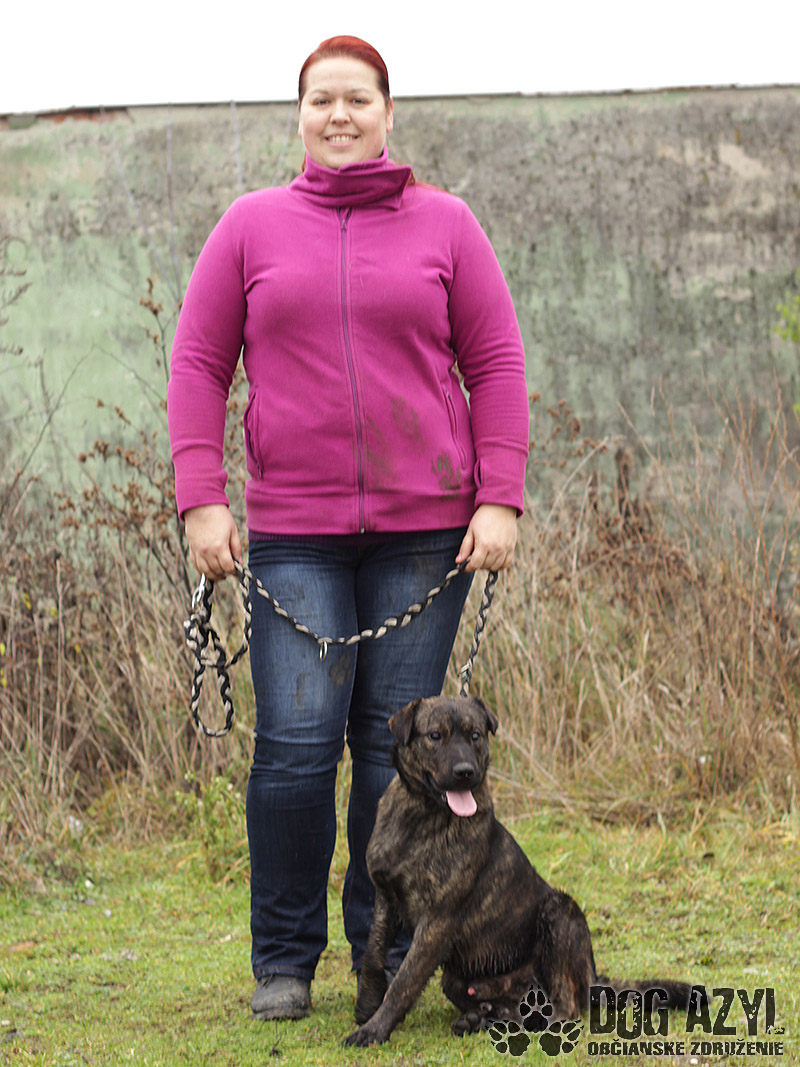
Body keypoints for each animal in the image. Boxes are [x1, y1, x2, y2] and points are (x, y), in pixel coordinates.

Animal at [344, 694, 700, 1046]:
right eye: (435, 736)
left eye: (475, 736)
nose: (465, 772)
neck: (421, 817)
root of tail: (592, 976)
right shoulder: (385, 898)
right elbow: (373, 955)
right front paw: (366, 1006)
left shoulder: (436, 923)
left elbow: (404, 981)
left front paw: (373, 1030)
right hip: (458, 980)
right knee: (510, 1010)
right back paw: (480, 1020)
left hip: (560, 912)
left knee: (567, 1007)